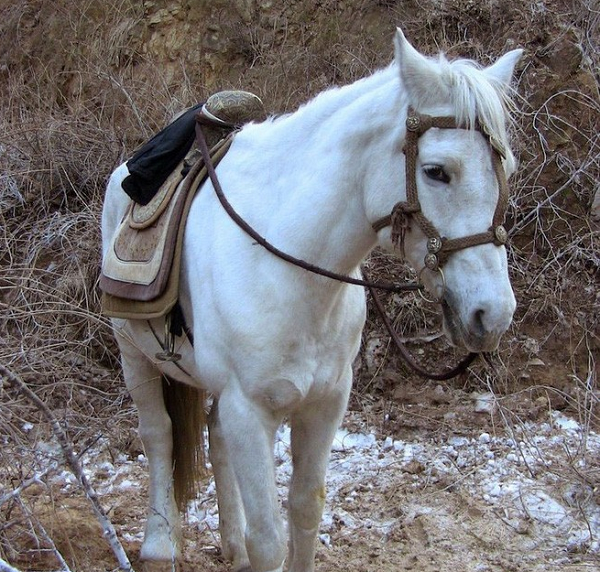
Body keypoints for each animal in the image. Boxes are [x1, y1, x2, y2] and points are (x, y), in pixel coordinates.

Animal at [102, 30, 520, 572]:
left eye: (506, 167)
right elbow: (268, 538)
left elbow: (305, 511)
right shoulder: (249, 409)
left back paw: (230, 546)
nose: (493, 314)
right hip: (134, 355)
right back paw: (159, 544)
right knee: (159, 435)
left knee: (214, 441)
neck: (286, 265)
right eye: (436, 171)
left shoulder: (325, 403)